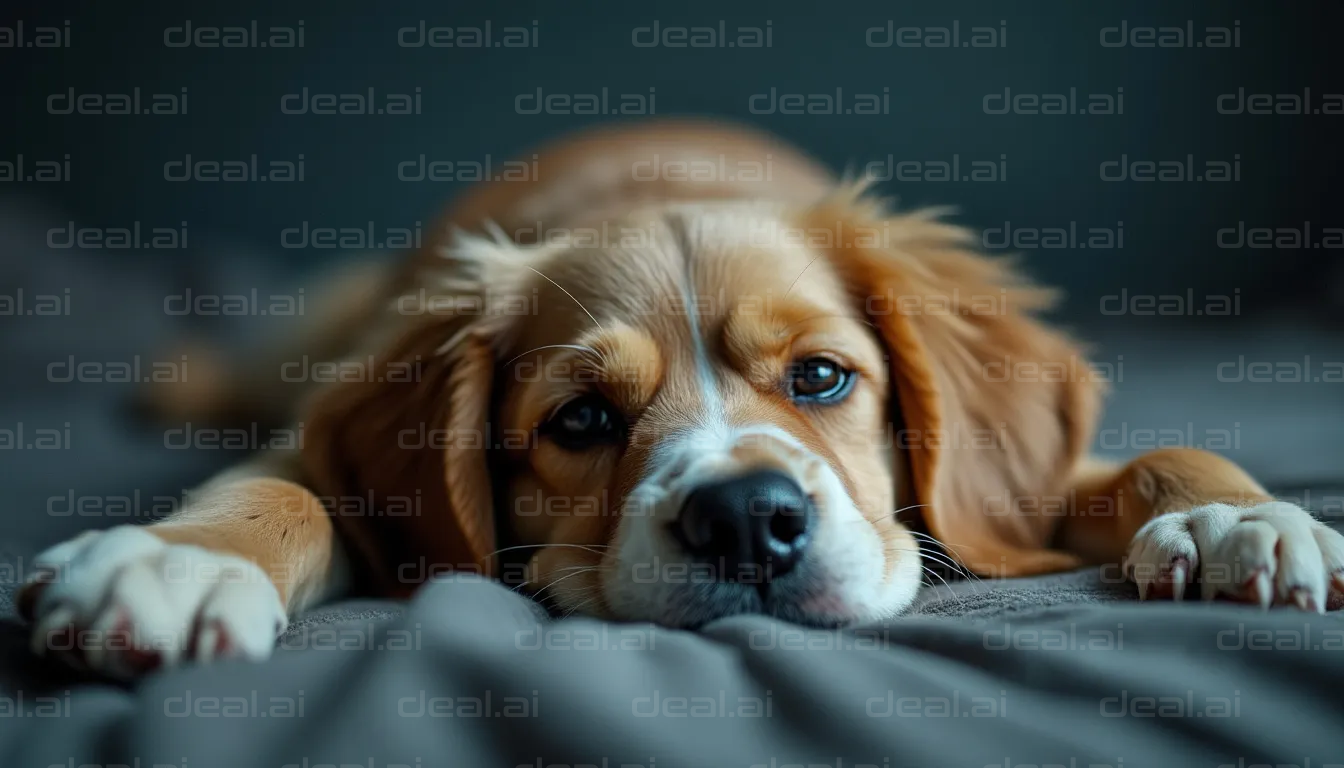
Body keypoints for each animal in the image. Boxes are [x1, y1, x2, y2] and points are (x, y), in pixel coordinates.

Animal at [21, 117, 1344, 675]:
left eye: (822, 377)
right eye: (580, 422)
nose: (750, 520)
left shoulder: (1004, 495)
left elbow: (1157, 459)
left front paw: (1238, 521)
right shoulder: (316, 452)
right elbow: (277, 493)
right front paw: (176, 563)